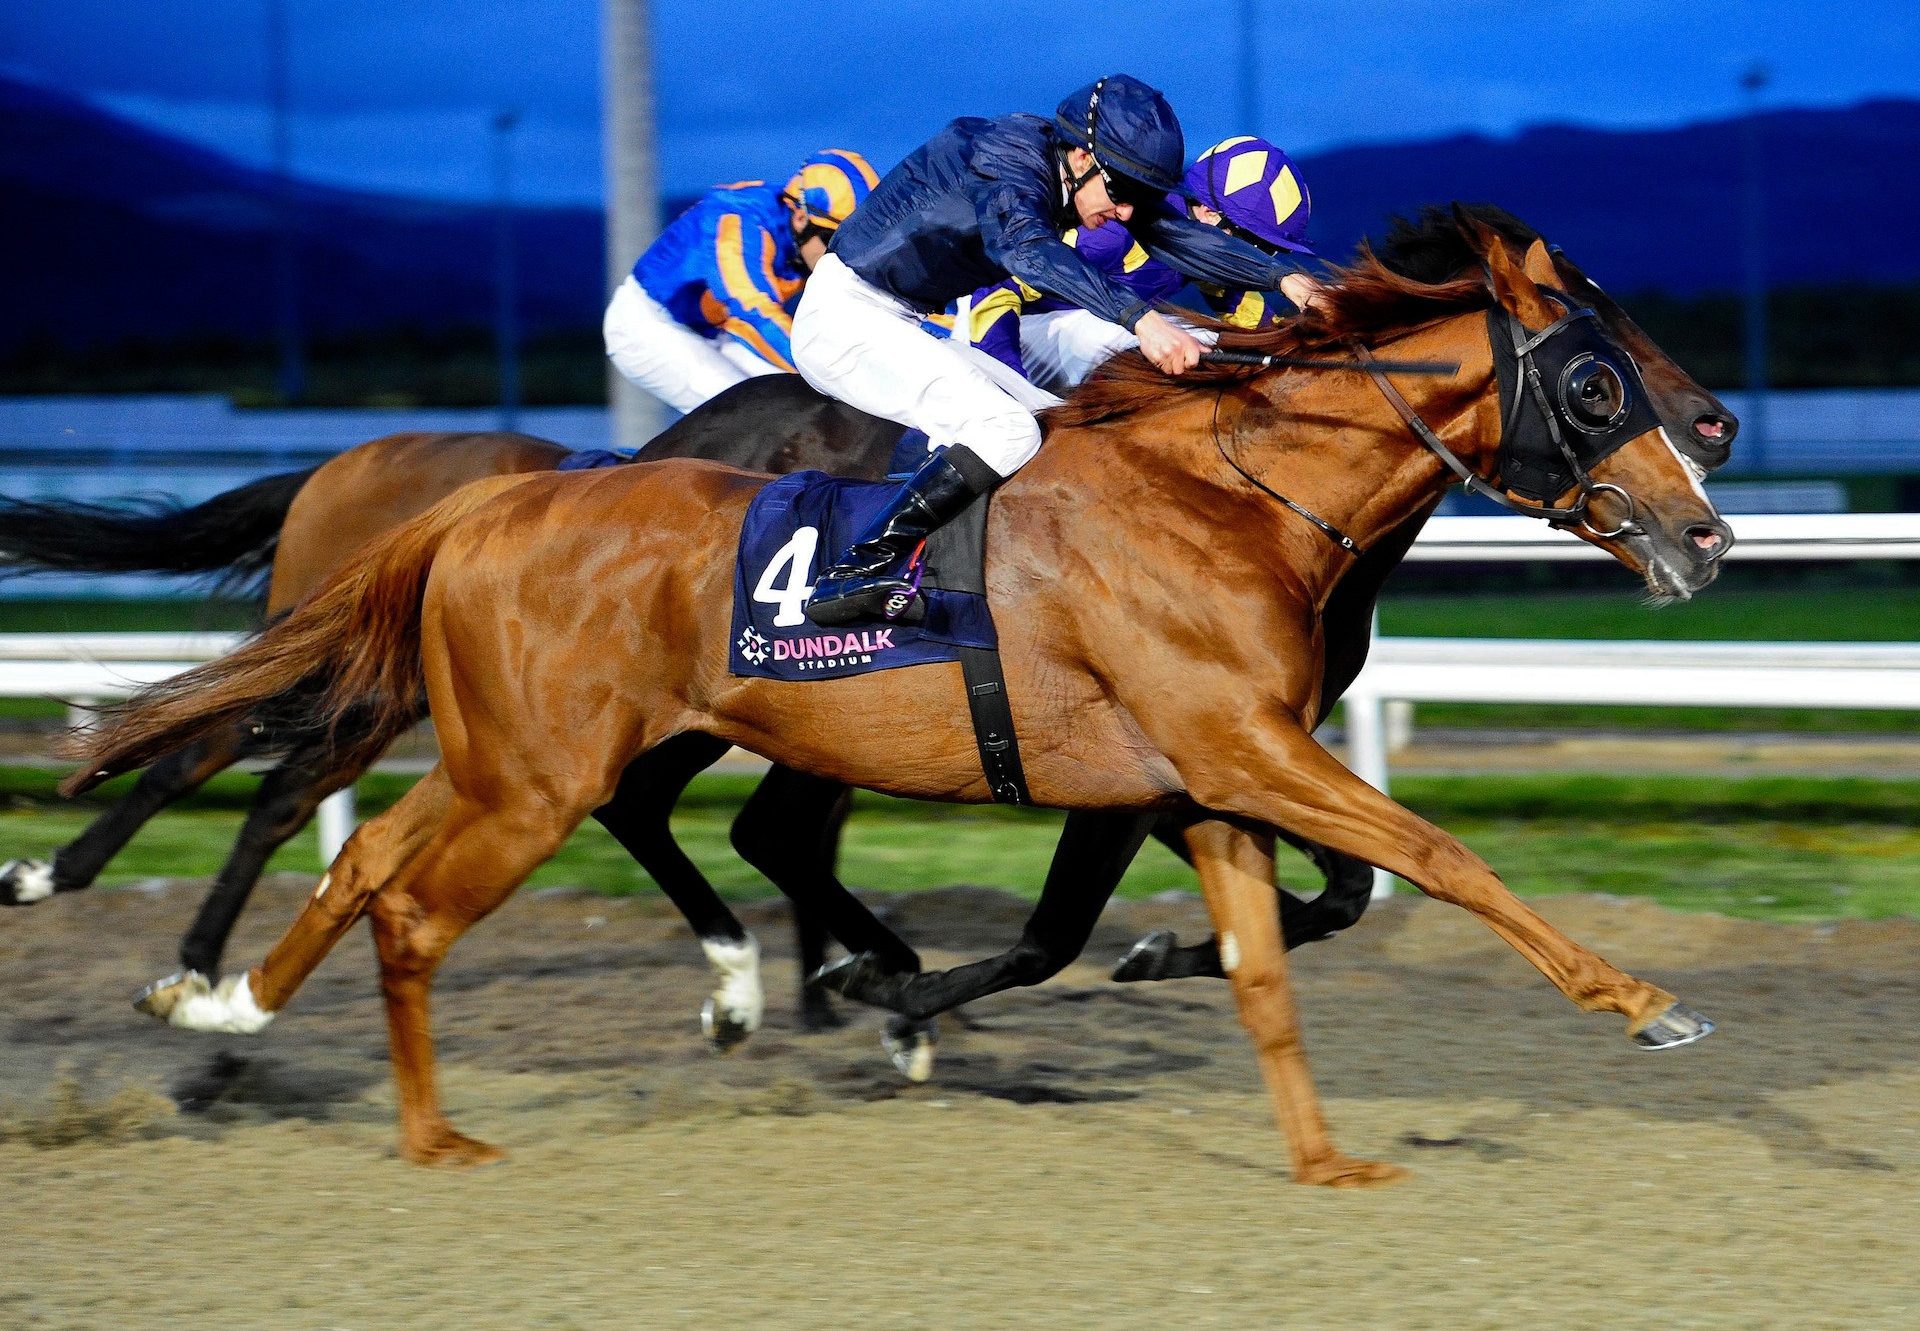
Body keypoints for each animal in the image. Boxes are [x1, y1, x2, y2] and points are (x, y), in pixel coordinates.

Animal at [74, 217, 1728, 1183]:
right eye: (1596, 380)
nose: (1707, 517)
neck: (1235, 495)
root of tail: (493, 498)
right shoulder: (1232, 749)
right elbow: (1436, 855)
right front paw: (1649, 1002)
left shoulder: (1201, 774)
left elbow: (1266, 953)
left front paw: (1322, 1156)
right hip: (538, 775)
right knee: (412, 893)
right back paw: (436, 1121)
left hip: (506, 756)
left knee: (363, 852)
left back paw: (225, 997)